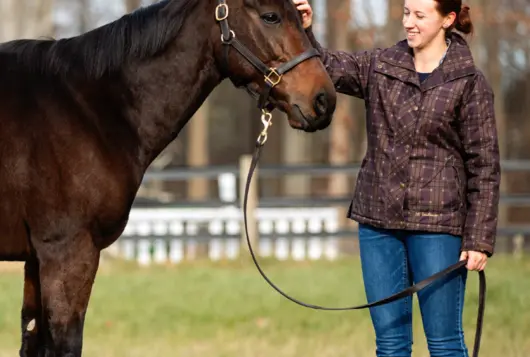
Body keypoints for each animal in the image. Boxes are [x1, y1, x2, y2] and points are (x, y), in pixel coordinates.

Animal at [0, 0, 334, 354]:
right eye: (271, 16)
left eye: (301, 17)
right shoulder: (66, 252)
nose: (323, 100)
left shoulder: (37, 259)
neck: (86, 110)